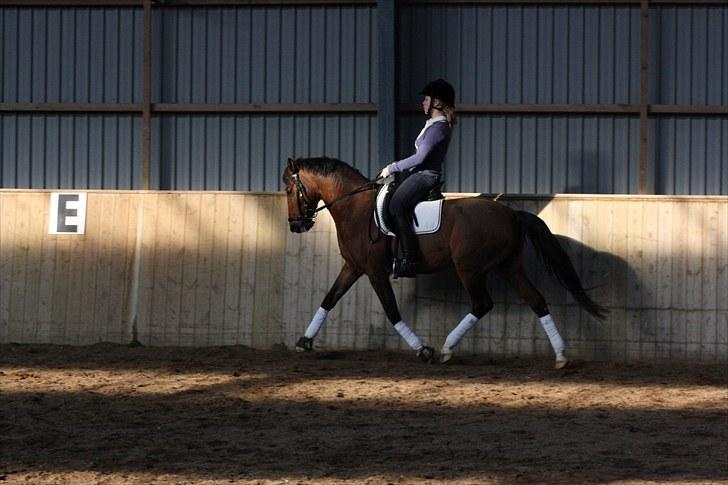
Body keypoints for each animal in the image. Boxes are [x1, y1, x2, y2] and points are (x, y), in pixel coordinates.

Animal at [282, 157, 606, 367]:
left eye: (288, 189)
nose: (296, 226)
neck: (356, 210)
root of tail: (511, 214)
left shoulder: (374, 271)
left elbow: (391, 311)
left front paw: (423, 350)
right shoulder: (353, 267)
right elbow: (329, 299)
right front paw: (304, 342)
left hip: (469, 267)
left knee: (482, 304)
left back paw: (447, 348)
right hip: (509, 266)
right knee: (536, 300)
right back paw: (561, 356)